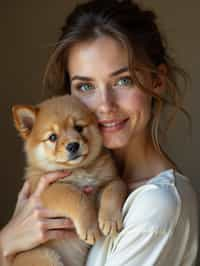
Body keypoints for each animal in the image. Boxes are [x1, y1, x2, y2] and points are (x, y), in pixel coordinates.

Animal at [11, 95, 126, 266]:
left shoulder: (110, 180)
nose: (73, 145)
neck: (79, 170)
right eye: (52, 137)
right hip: (46, 256)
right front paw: (90, 228)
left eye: (79, 127)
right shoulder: (48, 190)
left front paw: (110, 220)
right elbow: (76, 196)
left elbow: (114, 189)